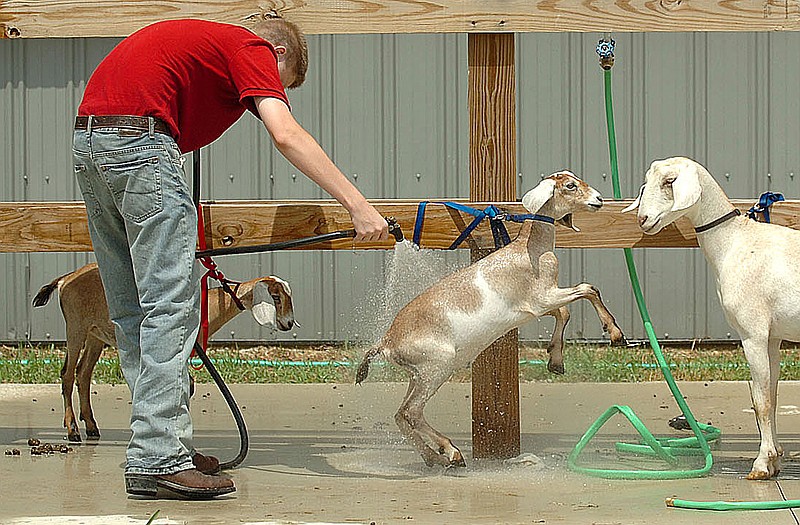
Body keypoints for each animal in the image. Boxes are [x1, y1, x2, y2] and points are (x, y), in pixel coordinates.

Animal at [34, 262, 296, 442]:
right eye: (275, 297)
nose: (289, 323)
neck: (206, 307)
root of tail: (65, 279)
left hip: (94, 334)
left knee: (83, 374)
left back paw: (91, 426)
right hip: (75, 327)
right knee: (67, 374)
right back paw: (72, 430)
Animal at [356, 172, 624, 466]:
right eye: (570, 186)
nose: (598, 200)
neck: (529, 249)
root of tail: (386, 342)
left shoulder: (535, 307)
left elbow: (564, 312)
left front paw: (555, 361)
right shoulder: (542, 298)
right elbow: (588, 289)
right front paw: (615, 334)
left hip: (418, 375)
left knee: (401, 415)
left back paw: (435, 458)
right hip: (436, 367)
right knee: (411, 413)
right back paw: (450, 451)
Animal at [624, 154, 800, 476]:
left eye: (670, 181)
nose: (642, 219)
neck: (734, 242)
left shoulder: (752, 334)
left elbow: (761, 402)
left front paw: (761, 464)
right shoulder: (772, 337)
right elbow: (772, 395)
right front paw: (775, 459)